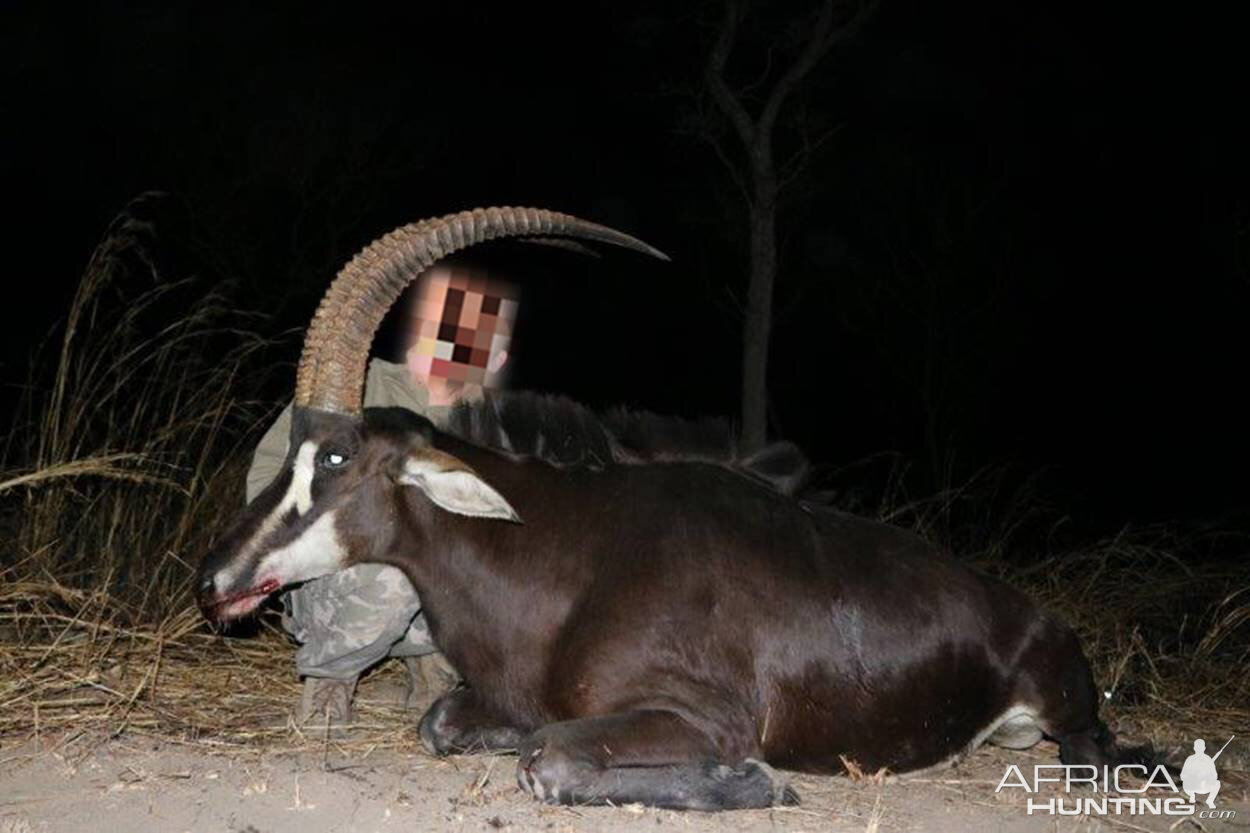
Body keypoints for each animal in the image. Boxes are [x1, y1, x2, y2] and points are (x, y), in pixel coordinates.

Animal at [197, 203, 1150, 805]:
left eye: (335, 454)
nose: (213, 582)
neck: (571, 555)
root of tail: (1040, 617)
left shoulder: (702, 717)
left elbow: (550, 757)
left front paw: (756, 780)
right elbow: (444, 721)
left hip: (1070, 715)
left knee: (1096, 751)